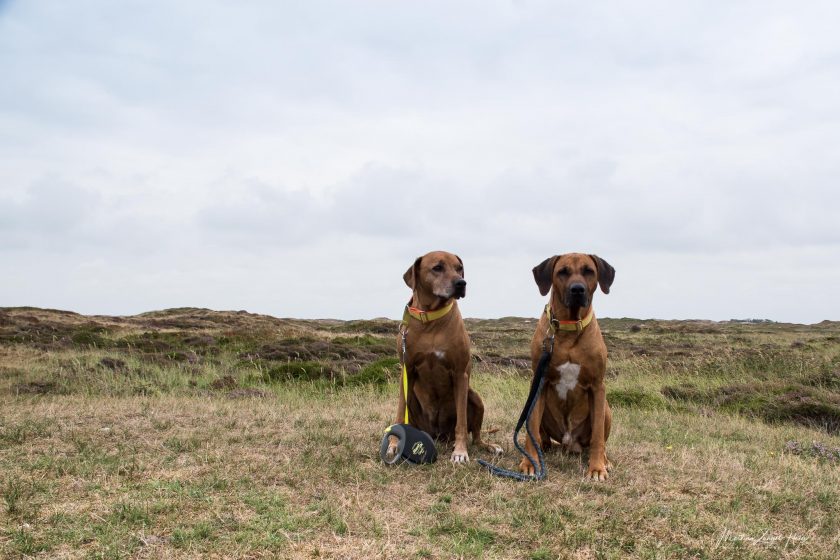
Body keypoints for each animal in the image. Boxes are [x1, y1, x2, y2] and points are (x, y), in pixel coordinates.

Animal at [520, 254, 616, 482]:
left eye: (589, 271)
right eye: (562, 272)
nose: (577, 289)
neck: (568, 328)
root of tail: (568, 442)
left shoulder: (597, 386)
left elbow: (598, 435)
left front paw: (596, 468)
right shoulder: (539, 382)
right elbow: (531, 430)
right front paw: (529, 462)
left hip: (606, 409)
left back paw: (605, 460)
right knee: (540, 436)